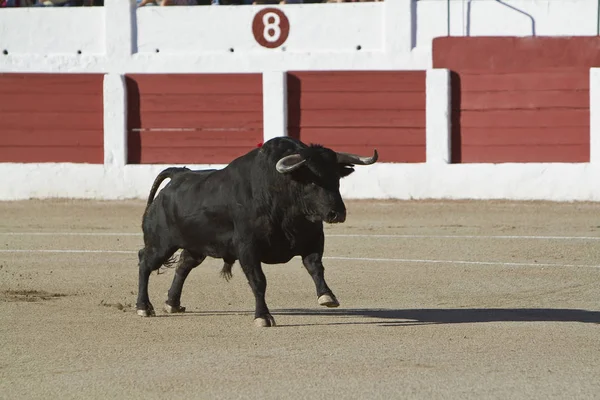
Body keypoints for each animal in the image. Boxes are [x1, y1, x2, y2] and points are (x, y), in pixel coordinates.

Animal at [138, 136, 378, 326]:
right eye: (311, 180)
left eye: (336, 177)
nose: (337, 213)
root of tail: (178, 175)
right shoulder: (248, 248)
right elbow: (258, 281)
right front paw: (263, 317)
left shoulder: (313, 239)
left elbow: (315, 267)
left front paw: (327, 296)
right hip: (162, 244)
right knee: (145, 262)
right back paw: (144, 307)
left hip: (196, 246)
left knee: (183, 265)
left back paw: (172, 303)